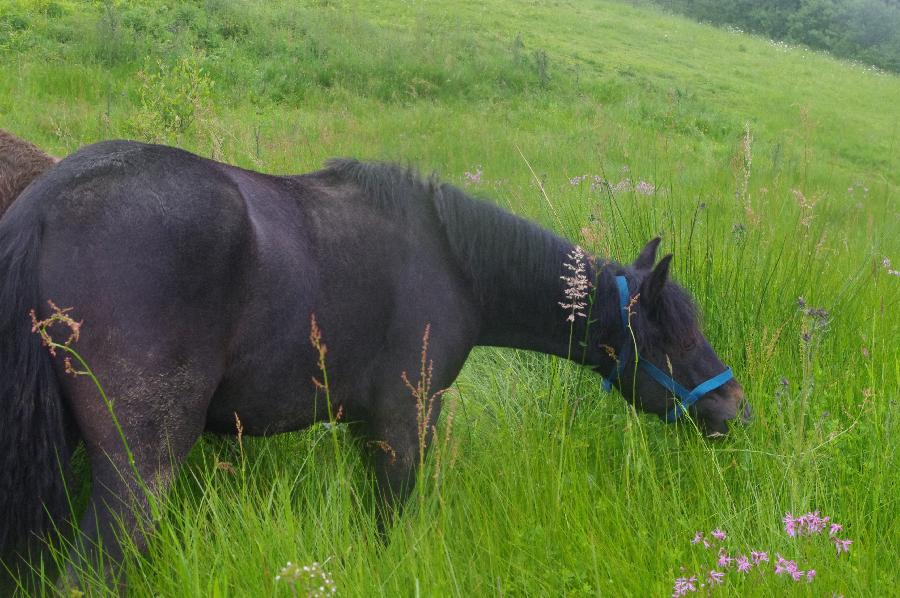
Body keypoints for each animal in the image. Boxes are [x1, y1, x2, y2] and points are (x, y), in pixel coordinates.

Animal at [0, 141, 744, 580]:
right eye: (675, 339)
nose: (733, 407)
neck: (452, 260)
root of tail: (44, 206)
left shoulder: (367, 426)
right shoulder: (403, 423)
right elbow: (387, 522)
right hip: (139, 470)